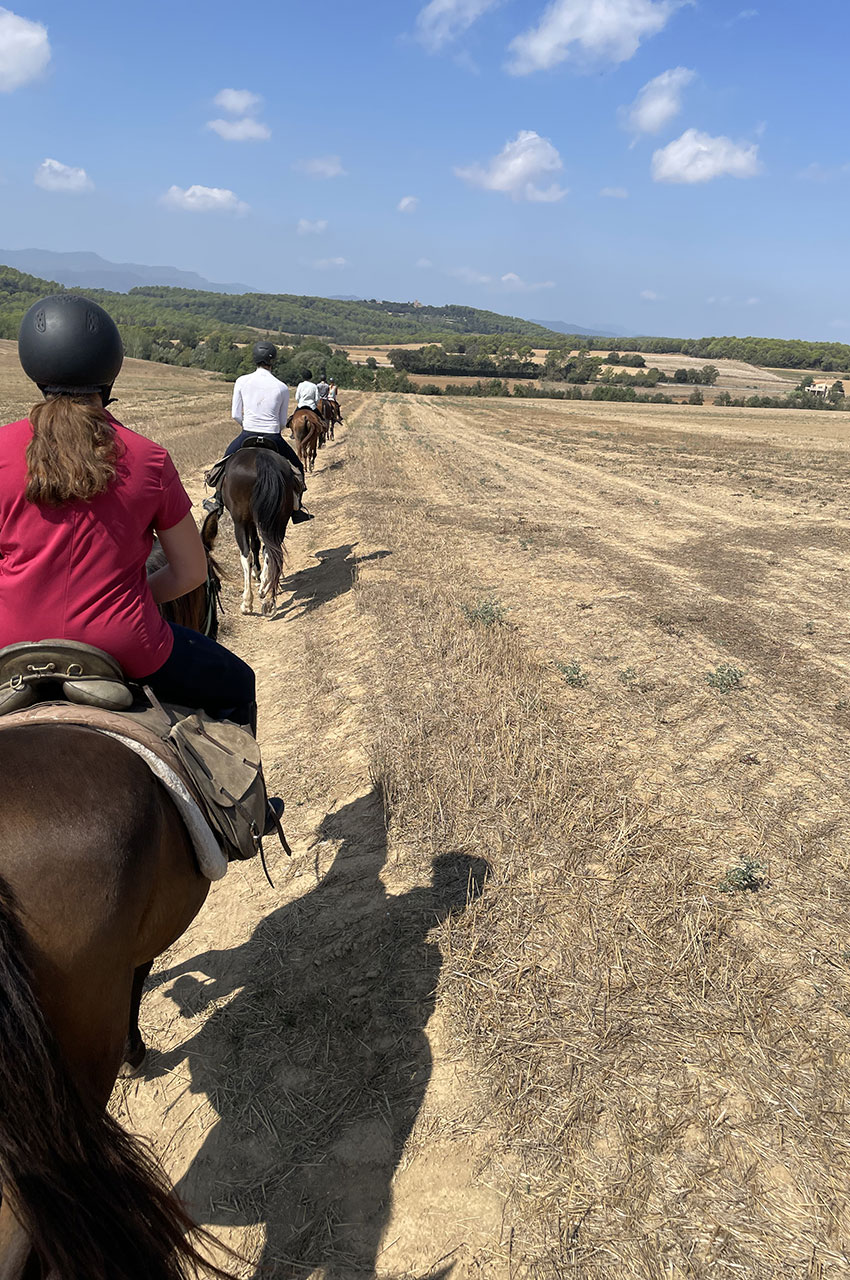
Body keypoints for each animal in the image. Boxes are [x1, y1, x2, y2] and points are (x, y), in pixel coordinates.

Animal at [218, 445, 298, 614]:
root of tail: (261, 459)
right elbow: (258, 544)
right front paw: (261, 576)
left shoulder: (247, 521)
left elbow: (253, 545)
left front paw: (256, 572)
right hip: (279, 521)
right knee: (273, 553)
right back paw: (267, 595)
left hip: (240, 522)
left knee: (246, 554)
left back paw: (247, 602)